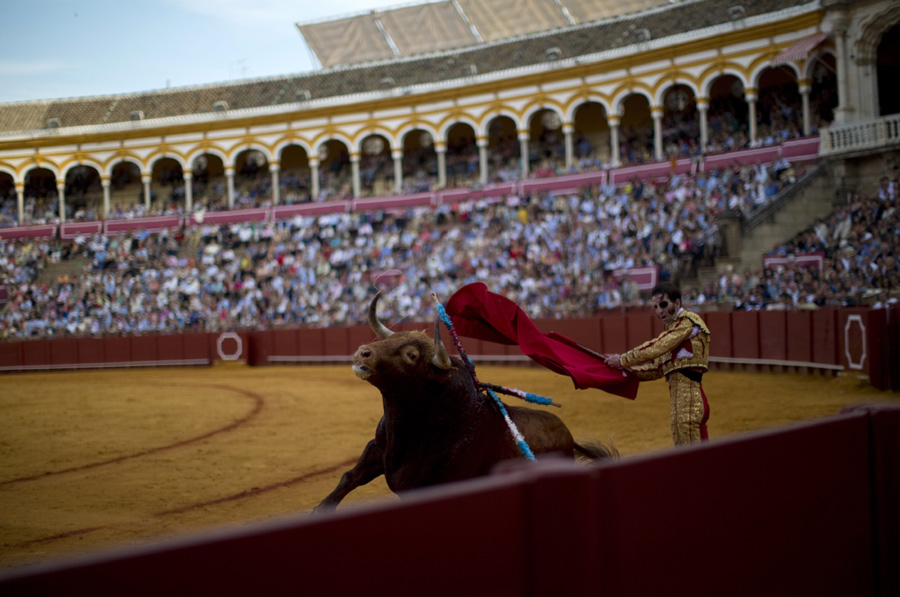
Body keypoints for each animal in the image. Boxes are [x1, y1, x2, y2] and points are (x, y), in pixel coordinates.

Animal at [312, 292, 612, 510]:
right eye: (394, 337)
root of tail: (569, 438)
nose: (363, 352)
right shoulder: (376, 449)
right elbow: (350, 477)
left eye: (411, 356)